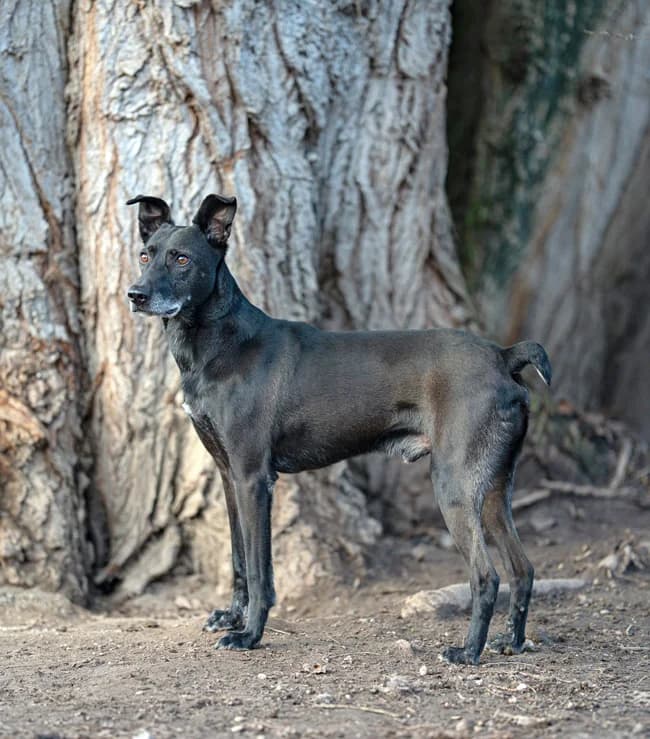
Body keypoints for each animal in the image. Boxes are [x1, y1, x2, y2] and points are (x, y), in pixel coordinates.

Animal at [126, 193, 551, 664]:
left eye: (181, 259)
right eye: (145, 255)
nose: (135, 294)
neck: (222, 344)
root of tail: (503, 355)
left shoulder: (254, 479)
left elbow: (258, 569)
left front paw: (249, 634)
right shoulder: (228, 476)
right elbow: (237, 560)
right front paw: (232, 618)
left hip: (454, 484)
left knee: (486, 574)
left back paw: (467, 652)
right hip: (493, 489)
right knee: (523, 569)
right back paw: (510, 642)